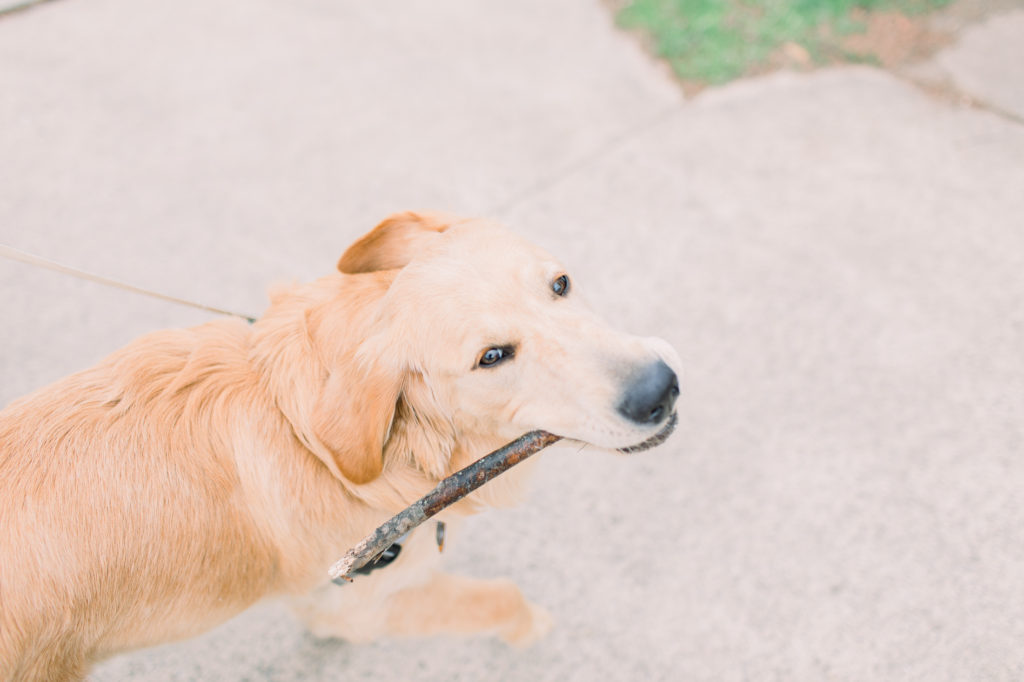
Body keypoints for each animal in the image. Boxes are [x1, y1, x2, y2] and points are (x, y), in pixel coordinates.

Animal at [4, 209, 684, 675]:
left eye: (561, 284)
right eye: (491, 357)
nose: (661, 389)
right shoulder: (362, 605)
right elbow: (502, 598)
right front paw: (531, 627)